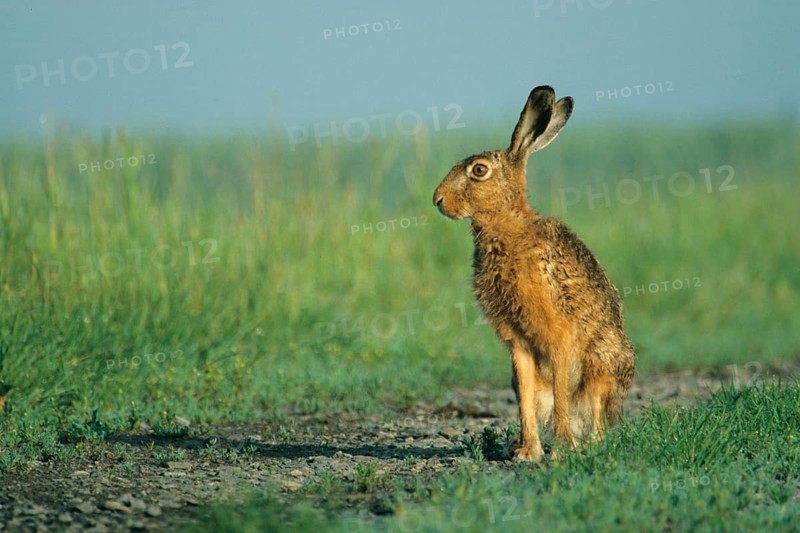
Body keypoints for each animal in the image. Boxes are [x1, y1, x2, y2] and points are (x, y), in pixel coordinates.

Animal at [433, 86, 635, 461]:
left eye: (478, 170)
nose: (438, 200)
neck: (508, 226)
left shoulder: (559, 335)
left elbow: (560, 392)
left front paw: (561, 448)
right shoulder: (518, 344)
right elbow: (526, 399)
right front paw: (528, 451)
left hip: (602, 364)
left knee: (596, 416)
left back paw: (585, 444)